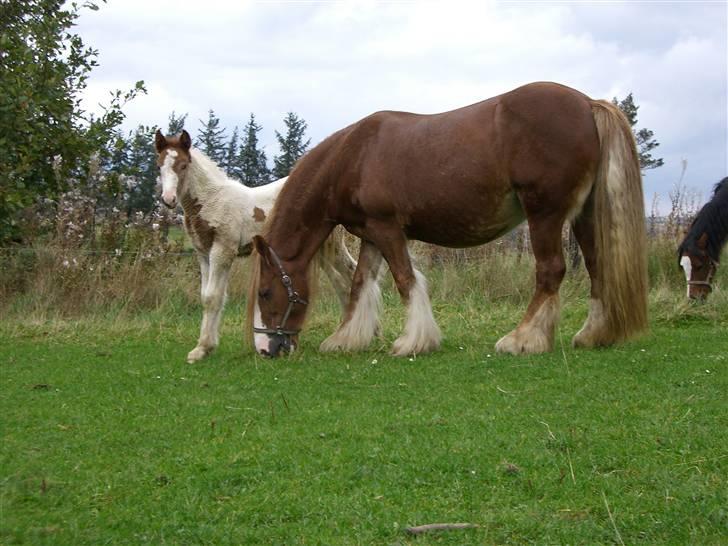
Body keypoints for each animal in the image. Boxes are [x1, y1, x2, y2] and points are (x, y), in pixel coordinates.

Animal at [155, 130, 356, 362]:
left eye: (183, 165)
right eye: (159, 166)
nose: (168, 199)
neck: (212, 200)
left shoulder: (223, 250)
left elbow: (212, 297)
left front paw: (202, 348)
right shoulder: (204, 253)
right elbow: (209, 295)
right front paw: (203, 348)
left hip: (330, 246)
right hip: (319, 249)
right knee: (343, 282)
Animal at [247, 78, 644, 354]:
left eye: (265, 292)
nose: (265, 349)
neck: (353, 157)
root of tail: (588, 103)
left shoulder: (388, 229)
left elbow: (405, 280)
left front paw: (413, 341)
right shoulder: (371, 234)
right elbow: (360, 284)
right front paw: (346, 339)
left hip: (544, 213)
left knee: (551, 270)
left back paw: (521, 339)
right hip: (583, 217)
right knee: (596, 267)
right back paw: (592, 334)